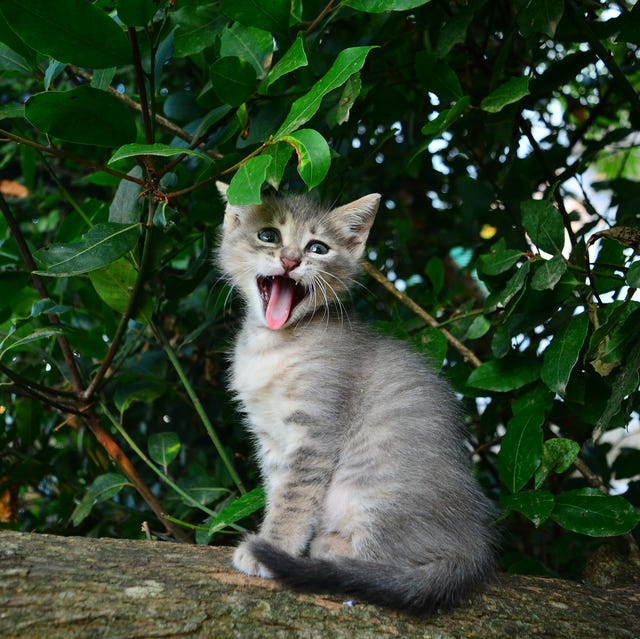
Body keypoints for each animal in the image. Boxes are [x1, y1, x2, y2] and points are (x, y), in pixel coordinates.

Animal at [215, 182, 496, 612]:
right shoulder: (270, 438)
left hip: (376, 489)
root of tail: (473, 548)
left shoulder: (314, 430)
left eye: (317, 248)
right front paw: (272, 537)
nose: (290, 259)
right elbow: (278, 490)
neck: (273, 344)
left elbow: (294, 496)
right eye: (268, 235)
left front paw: (273, 546)